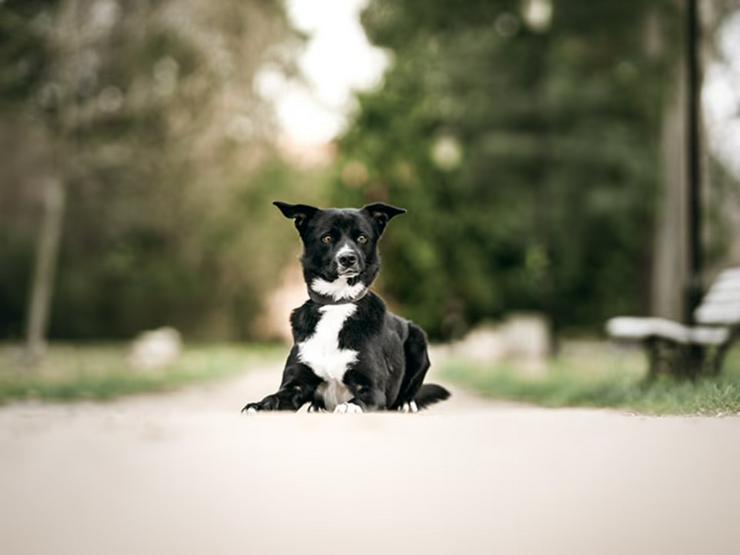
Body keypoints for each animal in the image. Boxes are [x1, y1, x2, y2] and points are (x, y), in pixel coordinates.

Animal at [243, 202, 450, 414]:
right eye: (326, 238)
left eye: (362, 238)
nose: (347, 258)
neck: (338, 302)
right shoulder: (296, 384)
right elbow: (274, 397)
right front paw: (257, 406)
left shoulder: (373, 389)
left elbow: (359, 400)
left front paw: (348, 407)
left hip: (418, 339)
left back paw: (406, 403)